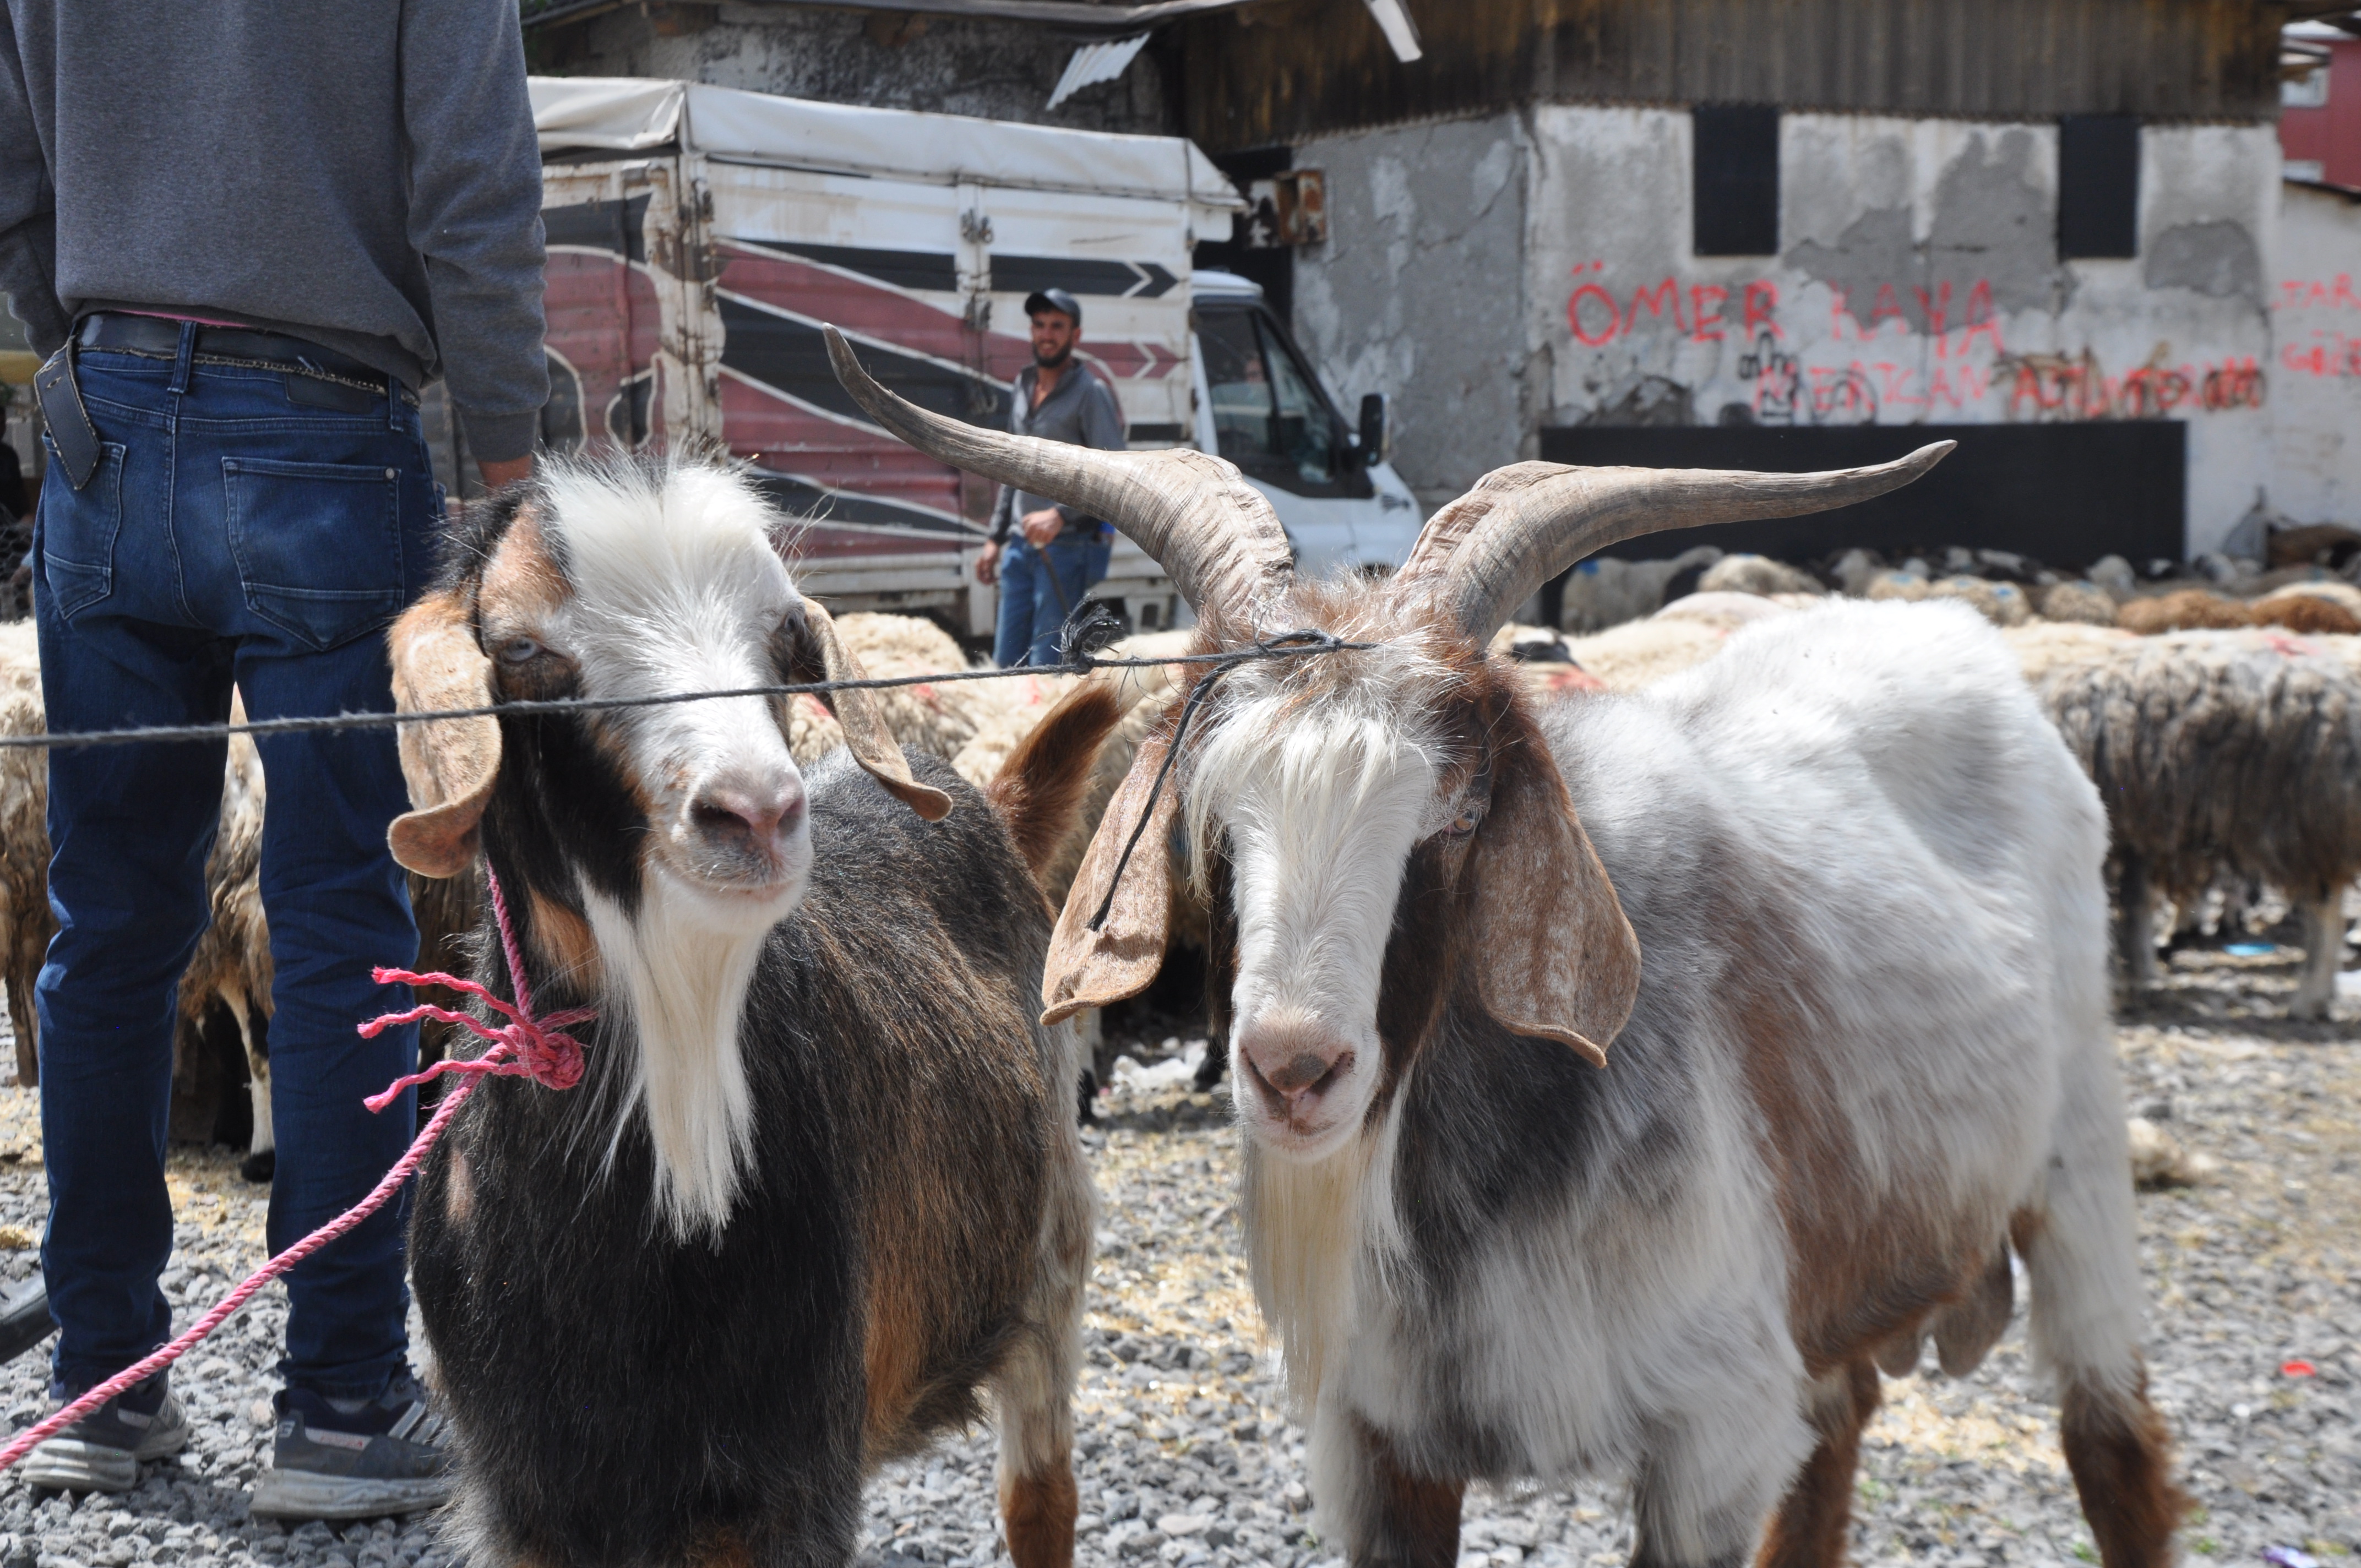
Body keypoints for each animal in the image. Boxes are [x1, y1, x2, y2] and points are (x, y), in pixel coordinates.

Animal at [389, 460, 1114, 1558]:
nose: (758, 812)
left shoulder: (786, 1482)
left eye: (782, 636)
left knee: (1040, 1493)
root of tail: (989, 804)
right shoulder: (523, 1495)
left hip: (1051, 1261)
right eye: (519, 649)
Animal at [822, 328, 2182, 1567]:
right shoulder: (1379, 1442)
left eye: (1458, 816)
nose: (1292, 1069)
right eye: (1213, 813)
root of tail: (1953, 639)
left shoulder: (1713, 1434)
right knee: (1839, 1432)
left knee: (2113, 1448)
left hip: (2076, 1172)